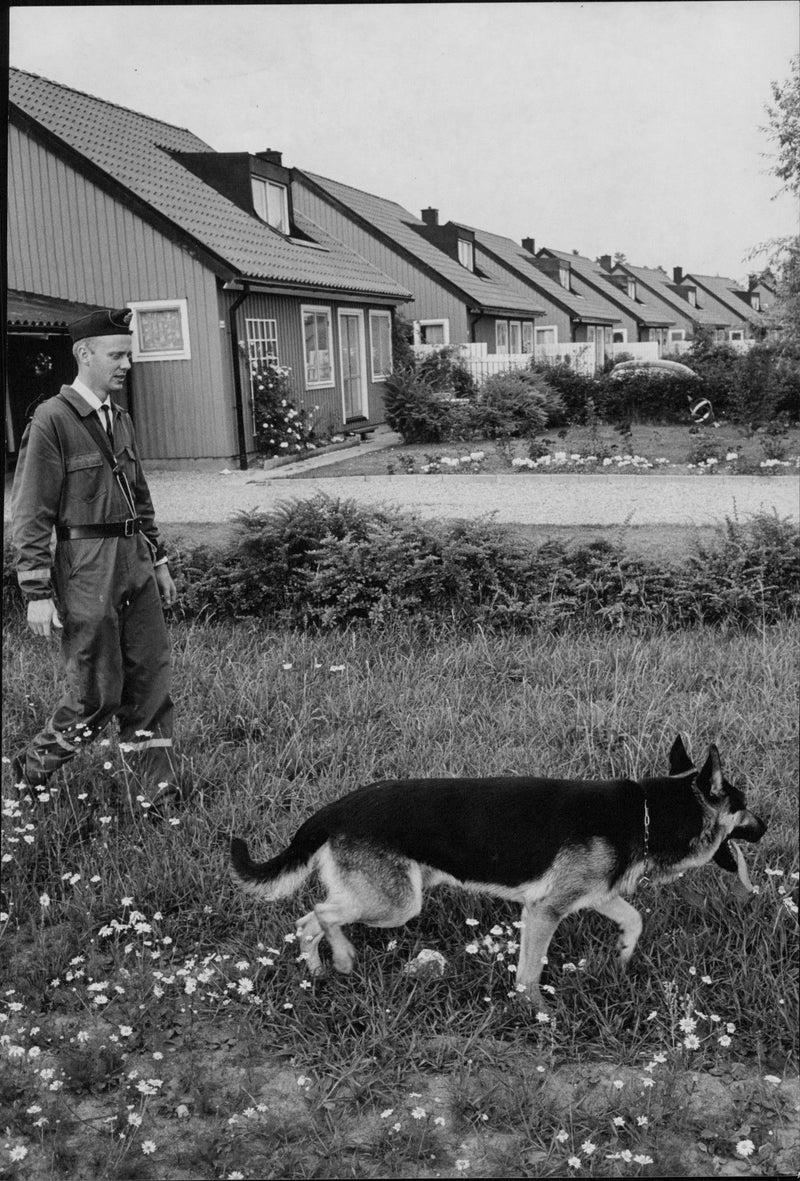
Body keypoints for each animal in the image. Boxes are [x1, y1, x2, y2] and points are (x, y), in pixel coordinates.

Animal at [228, 736, 765, 1006]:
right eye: (744, 808)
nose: (768, 827)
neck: (651, 813)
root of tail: (336, 809)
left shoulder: (594, 895)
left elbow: (634, 919)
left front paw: (623, 956)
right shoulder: (545, 910)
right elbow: (529, 973)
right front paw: (537, 1014)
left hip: (384, 899)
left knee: (313, 919)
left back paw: (325, 968)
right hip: (397, 903)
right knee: (318, 914)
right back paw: (335, 961)